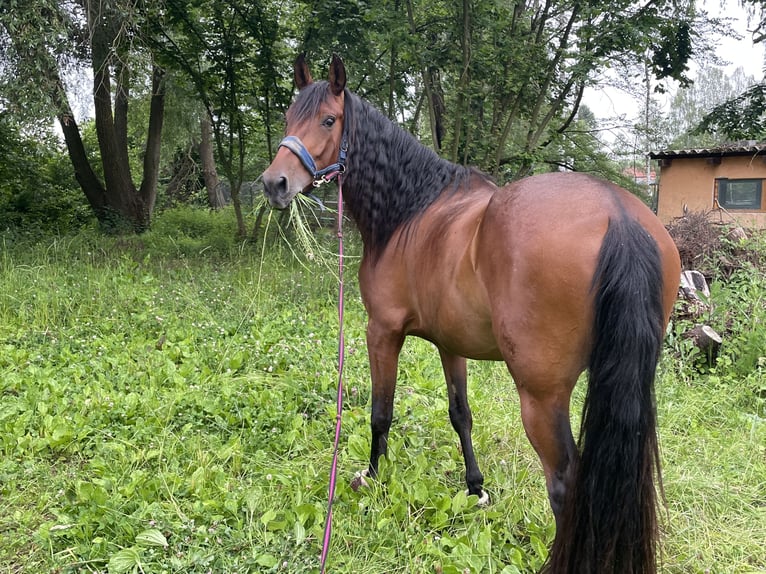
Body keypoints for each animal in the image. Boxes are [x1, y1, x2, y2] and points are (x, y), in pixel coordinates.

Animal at [266, 55, 684, 574]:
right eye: (289, 117)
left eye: (328, 120)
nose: (274, 183)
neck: (410, 212)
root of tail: (618, 215)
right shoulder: (451, 345)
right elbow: (460, 414)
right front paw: (475, 488)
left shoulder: (381, 332)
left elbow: (381, 414)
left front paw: (372, 476)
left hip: (541, 398)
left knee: (565, 481)